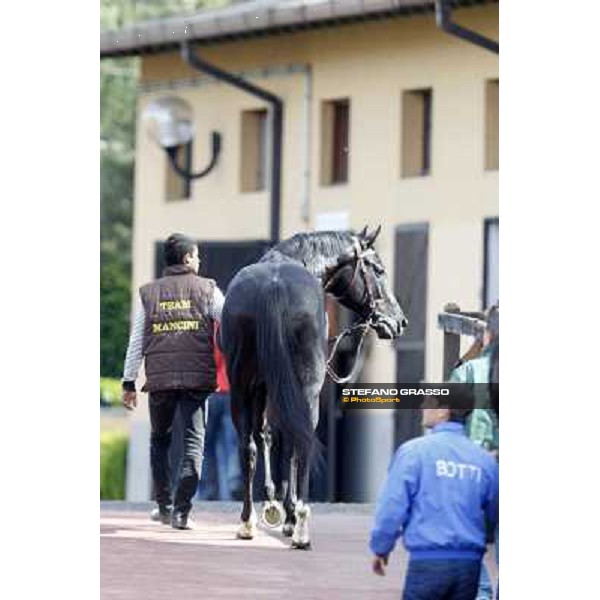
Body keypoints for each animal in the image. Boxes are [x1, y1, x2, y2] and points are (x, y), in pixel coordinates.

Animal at [220, 227, 408, 552]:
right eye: (379, 270)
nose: (398, 321)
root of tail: (274, 286)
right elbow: (292, 446)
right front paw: (289, 515)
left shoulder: (263, 388)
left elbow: (268, 437)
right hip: (307, 389)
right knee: (302, 443)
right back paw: (301, 530)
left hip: (242, 387)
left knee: (249, 446)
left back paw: (247, 522)